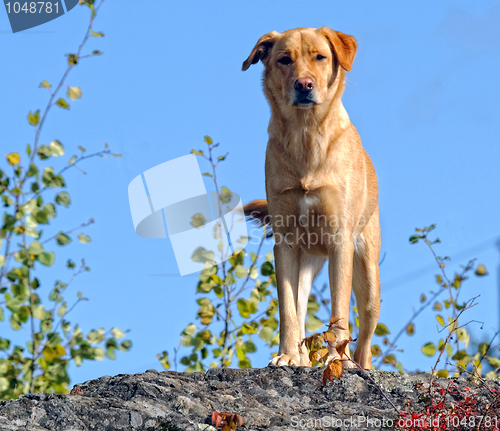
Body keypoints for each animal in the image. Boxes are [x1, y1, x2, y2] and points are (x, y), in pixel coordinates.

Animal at [242, 27, 378, 370]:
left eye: (320, 57)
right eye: (284, 59)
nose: (304, 84)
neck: (306, 136)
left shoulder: (341, 241)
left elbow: (339, 313)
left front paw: (336, 360)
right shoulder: (285, 243)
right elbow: (288, 310)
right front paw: (288, 355)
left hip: (368, 278)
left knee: (366, 337)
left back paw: (360, 365)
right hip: (305, 264)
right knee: (300, 306)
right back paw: (301, 356)